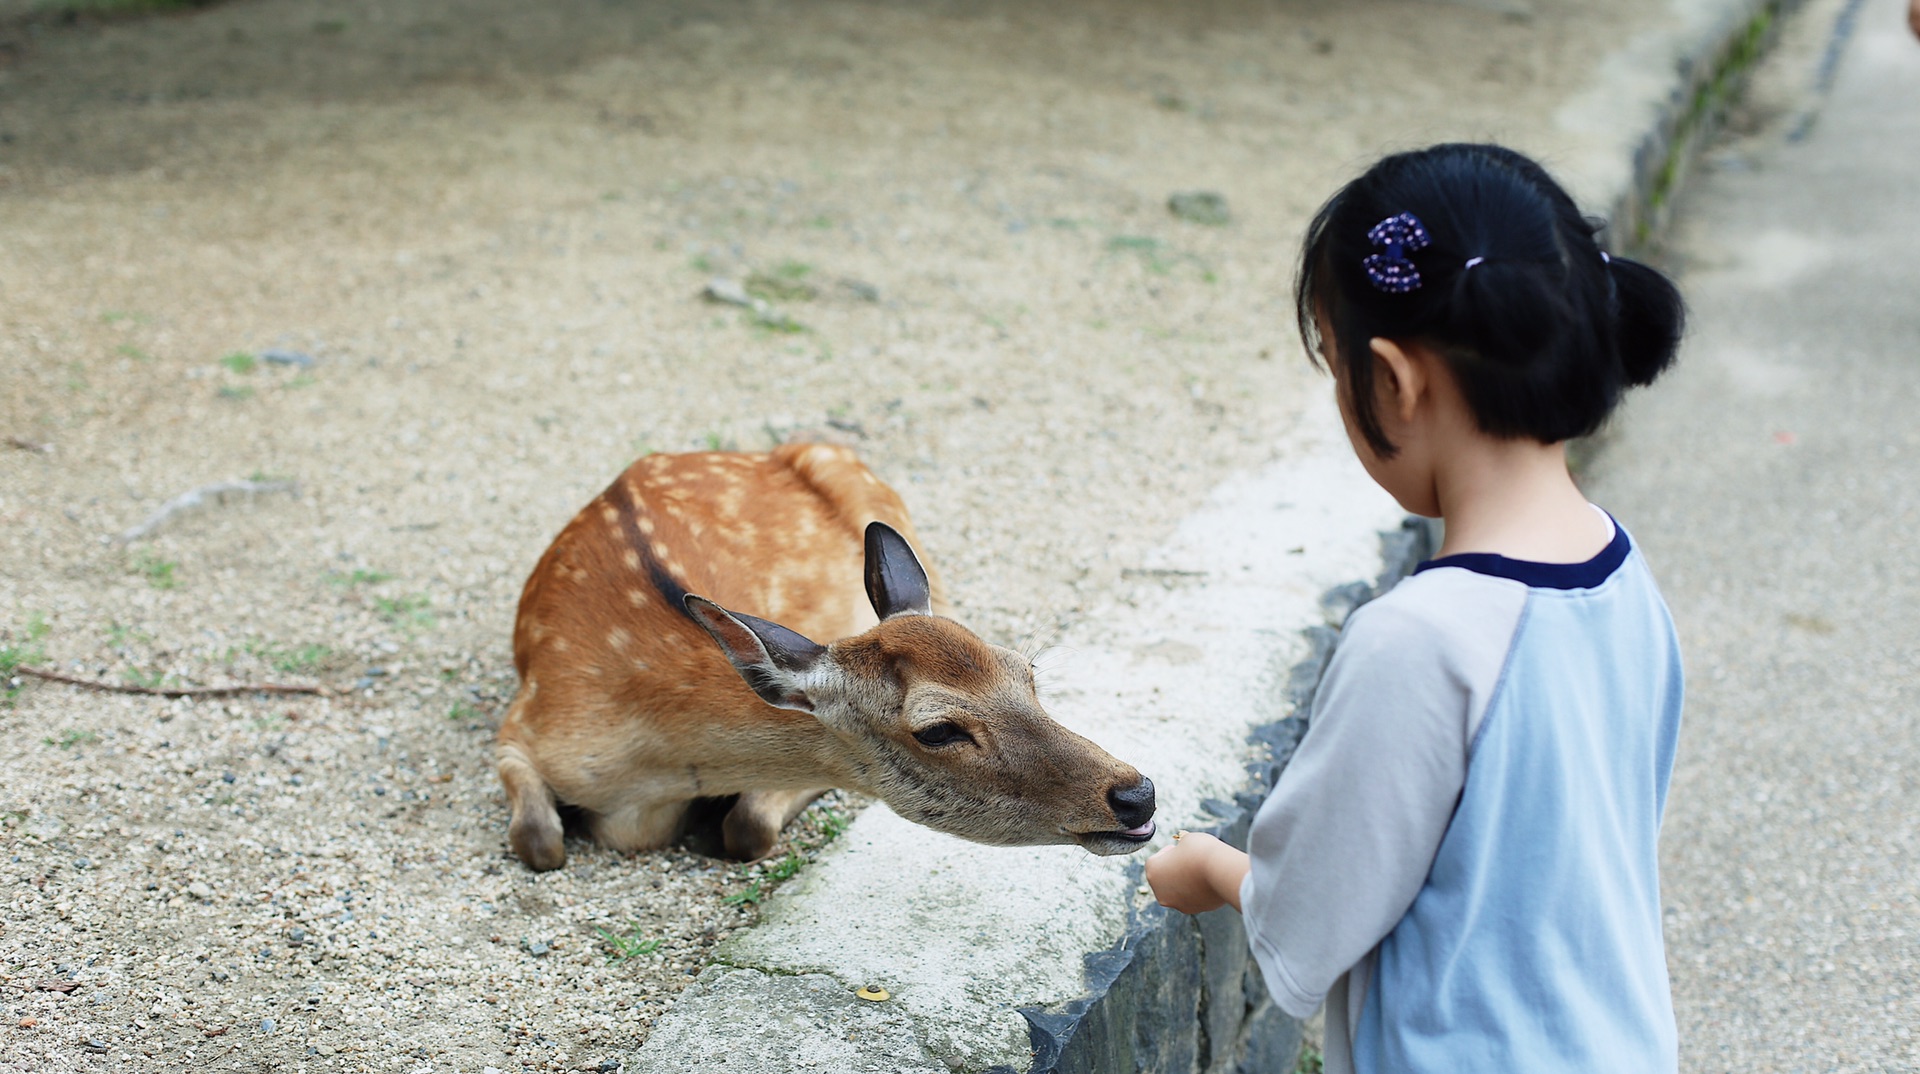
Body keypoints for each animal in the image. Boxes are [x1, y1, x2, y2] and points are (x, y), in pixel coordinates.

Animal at [495, 441, 1152, 868]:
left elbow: (749, 824)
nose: (1137, 794)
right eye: (937, 730)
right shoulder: (522, 724)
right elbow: (538, 841)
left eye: (1026, 672)